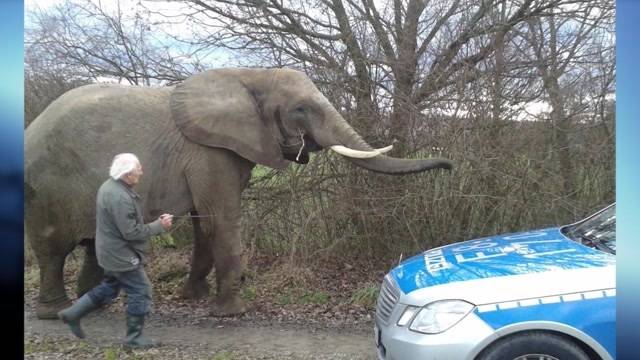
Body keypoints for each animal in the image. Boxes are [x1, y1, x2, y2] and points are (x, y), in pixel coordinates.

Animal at [25, 67, 452, 318]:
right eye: (300, 109)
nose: (450, 166)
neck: (248, 76)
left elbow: (203, 224)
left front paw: (193, 299)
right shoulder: (209, 152)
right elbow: (222, 219)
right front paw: (230, 313)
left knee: (92, 244)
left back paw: (94, 306)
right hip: (47, 185)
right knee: (53, 247)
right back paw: (55, 312)